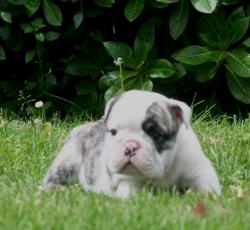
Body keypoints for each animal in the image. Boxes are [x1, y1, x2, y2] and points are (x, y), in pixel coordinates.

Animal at [41, 90, 221, 198]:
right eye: (113, 132)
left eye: (156, 135)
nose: (130, 146)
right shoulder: (129, 182)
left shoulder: (199, 169)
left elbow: (207, 185)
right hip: (67, 162)